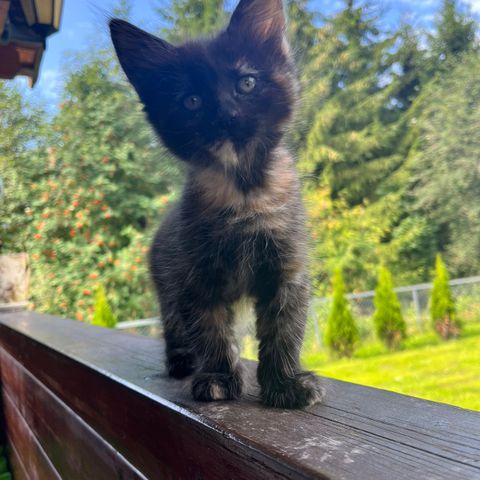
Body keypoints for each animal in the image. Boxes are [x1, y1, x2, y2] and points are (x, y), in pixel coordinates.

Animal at [110, 0, 324, 408]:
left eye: (246, 83)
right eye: (191, 101)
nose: (226, 114)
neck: (243, 192)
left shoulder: (286, 268)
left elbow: (283, 328)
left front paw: (285, 384)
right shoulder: (195, 274)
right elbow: (210, 328)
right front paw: (220, 378)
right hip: (166, 282)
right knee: (175, 326)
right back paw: (181, 361)